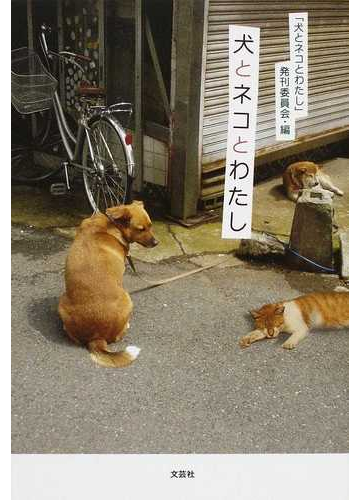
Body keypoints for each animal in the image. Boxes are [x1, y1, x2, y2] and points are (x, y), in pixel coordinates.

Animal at [58, 200, 158, 368]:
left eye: (150, 225)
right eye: (141, 229)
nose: (157, 243)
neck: (112, 223)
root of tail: (96, 337)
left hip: (62, 302)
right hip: (128, 300)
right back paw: (126, 326)